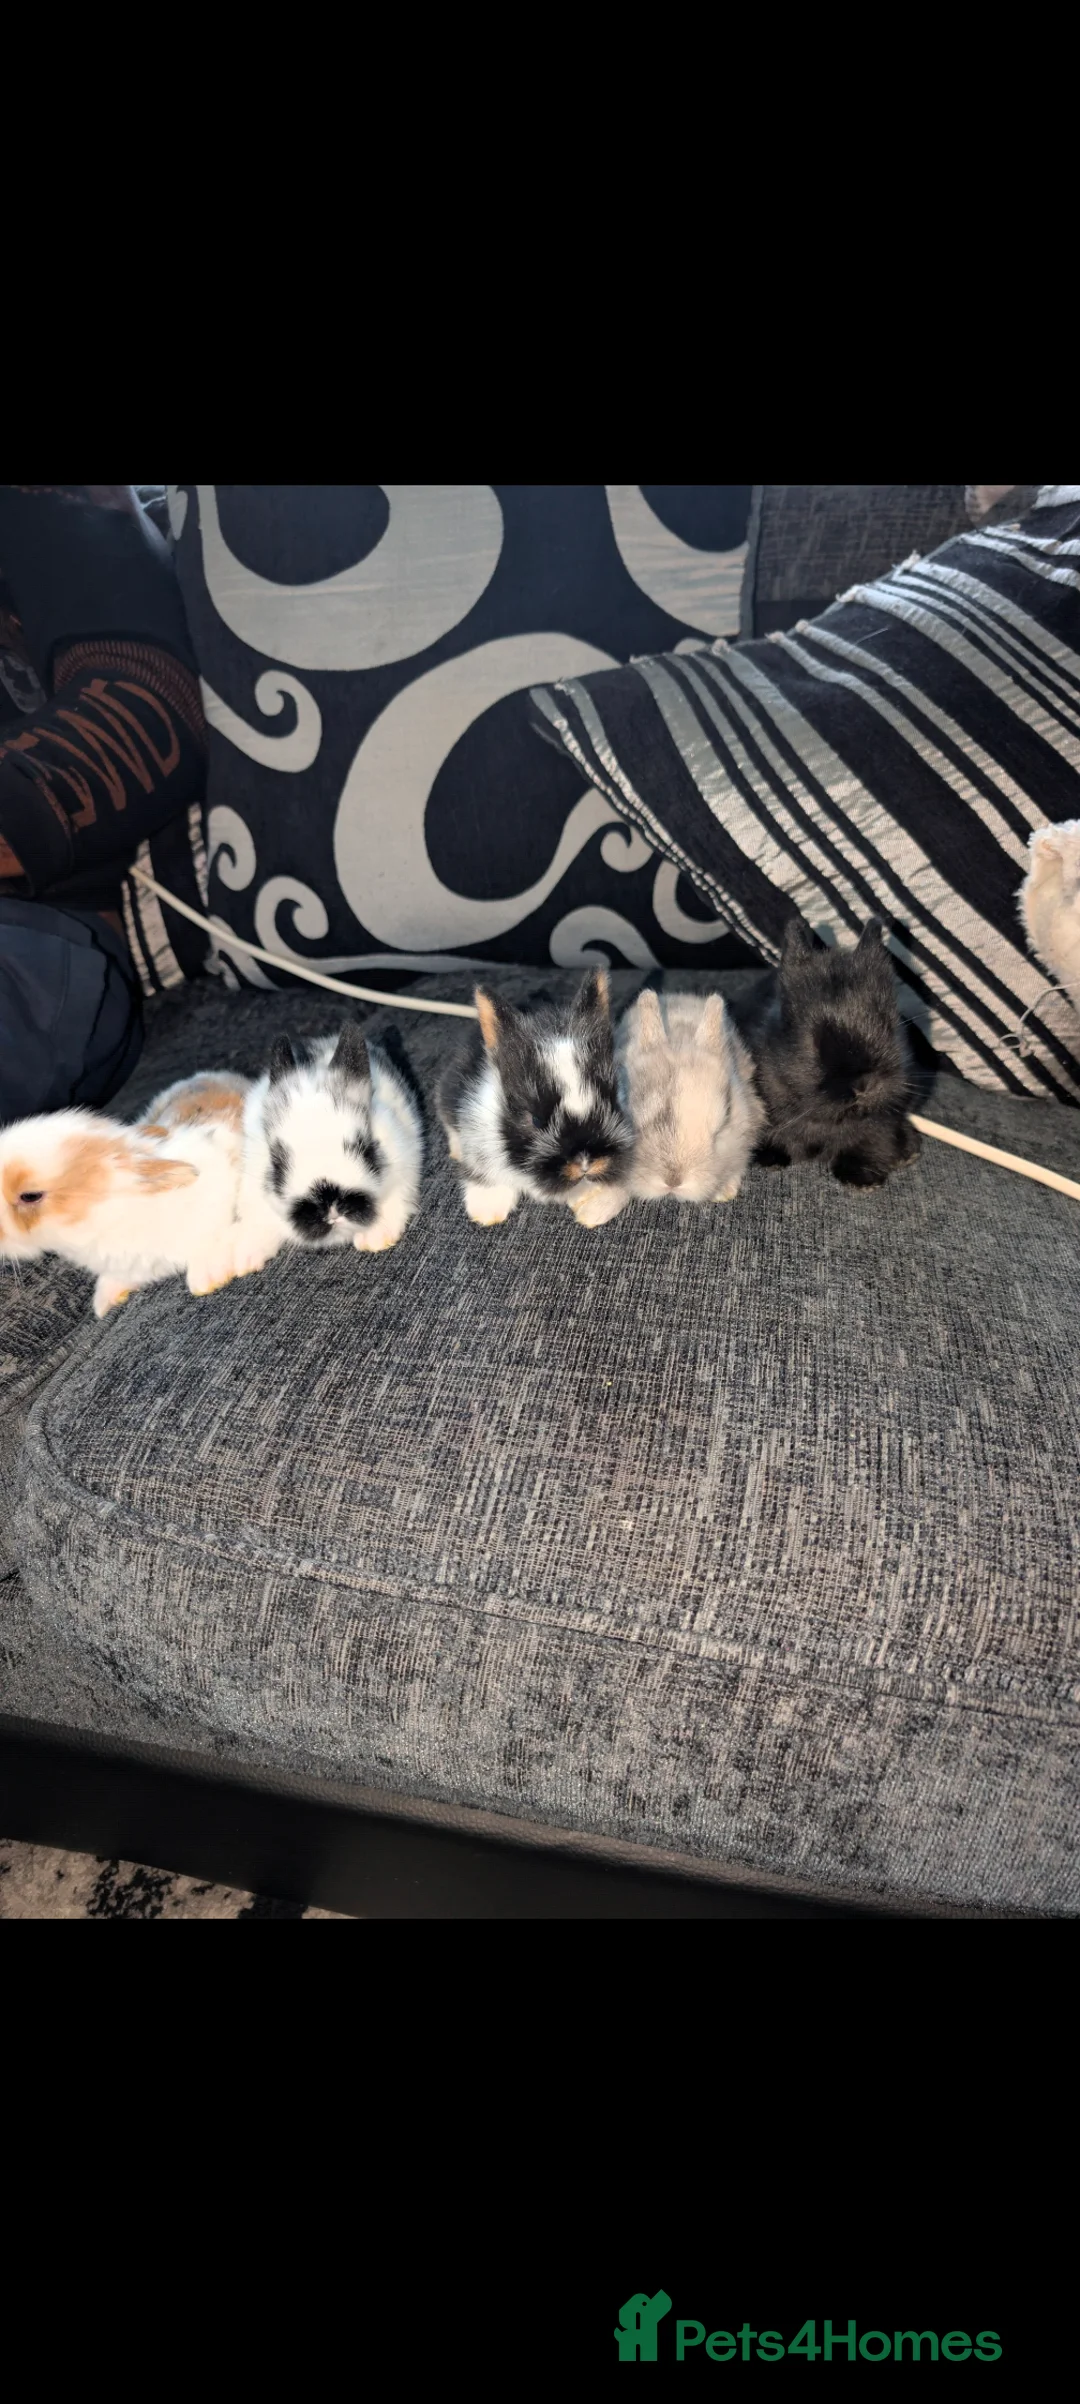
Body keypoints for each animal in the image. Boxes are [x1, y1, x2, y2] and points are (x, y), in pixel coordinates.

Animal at [732, 916, 921, 1188]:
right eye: (815, 1041)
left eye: (889, 1025)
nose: (864, 1085)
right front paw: (769, 1159)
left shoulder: (880, 1123)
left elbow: (871, 1142)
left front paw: (861, 1180)